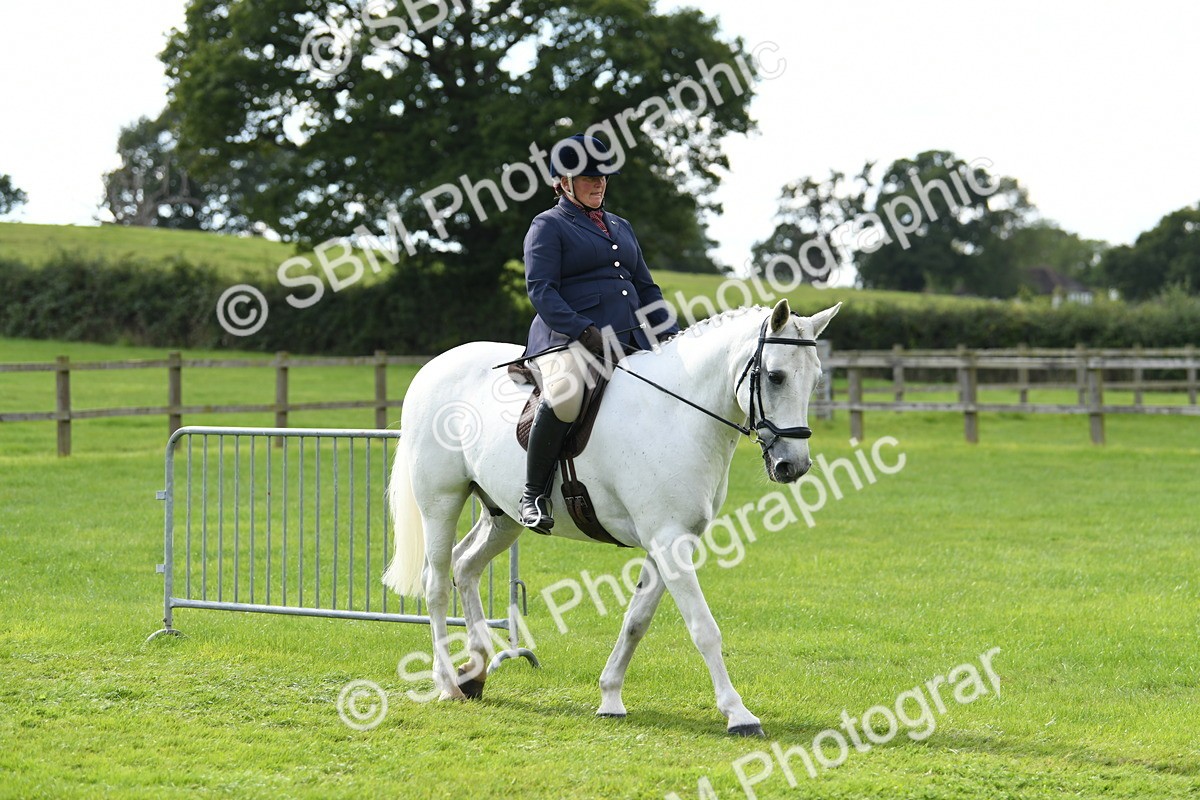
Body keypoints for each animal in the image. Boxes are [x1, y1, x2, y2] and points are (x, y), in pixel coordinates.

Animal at [383, 298, 840, 736]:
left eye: (817, 380)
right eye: (776, 376)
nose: (793, 466)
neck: (676, 413)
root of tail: (432, 367)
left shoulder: (671, 540)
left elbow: (636, 620)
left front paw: (610, 698)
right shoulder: (668, 540)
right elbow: (704, 629)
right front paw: (738, 714)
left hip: (503, 516)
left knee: (466, 566)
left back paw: (475, 670)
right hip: (441, 502)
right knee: (436, 583)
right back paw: (447, 683)